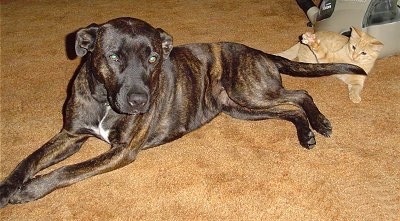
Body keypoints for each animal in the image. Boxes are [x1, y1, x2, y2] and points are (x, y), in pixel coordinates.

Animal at [0, 17, 366, 207]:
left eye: (152, 58)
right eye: (114, 57)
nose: (140, 102)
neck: (105, 99)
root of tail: (259, 52)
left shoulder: (122, 151)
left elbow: (65, 172)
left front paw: (28, 191)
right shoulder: (70, 135)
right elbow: (29, 160)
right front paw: (7, 189)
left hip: (251, 92)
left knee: (300, 94)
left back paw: (320, 123)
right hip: (242, 108)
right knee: (289, 110)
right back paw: (306, 134)